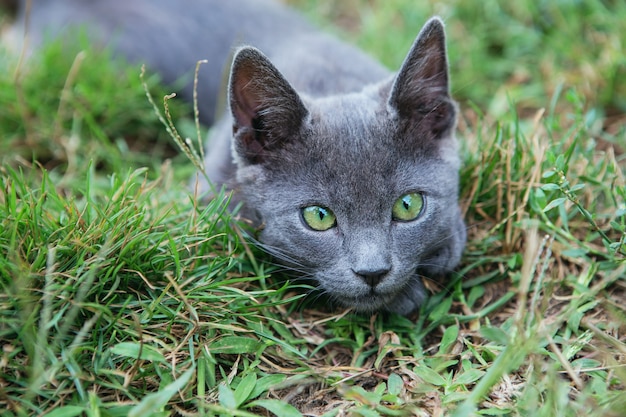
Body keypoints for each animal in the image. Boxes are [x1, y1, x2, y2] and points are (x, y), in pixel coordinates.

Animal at [6, 0, 464, 314]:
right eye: (318, 217)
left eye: (409, 206)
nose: (372, 273)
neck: (328, 79)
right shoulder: (212, 186)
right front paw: (406, 292)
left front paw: (445, 243)